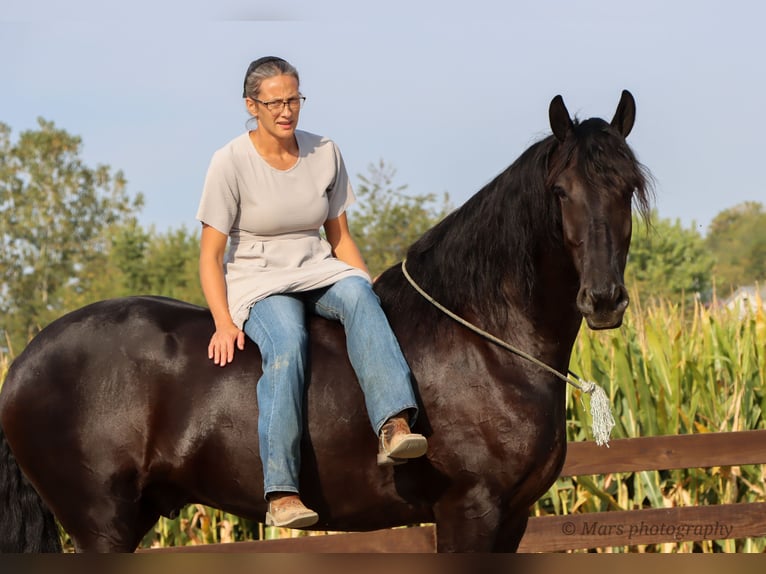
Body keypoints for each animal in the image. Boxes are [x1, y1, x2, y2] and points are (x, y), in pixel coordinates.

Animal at [0, 90, 651, 553]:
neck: (484, 341)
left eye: (628, 187)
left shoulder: (511, 519)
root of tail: (27, 357)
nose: (603, 299)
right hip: (101, 526)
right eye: (560, 191)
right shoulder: (470, 512)